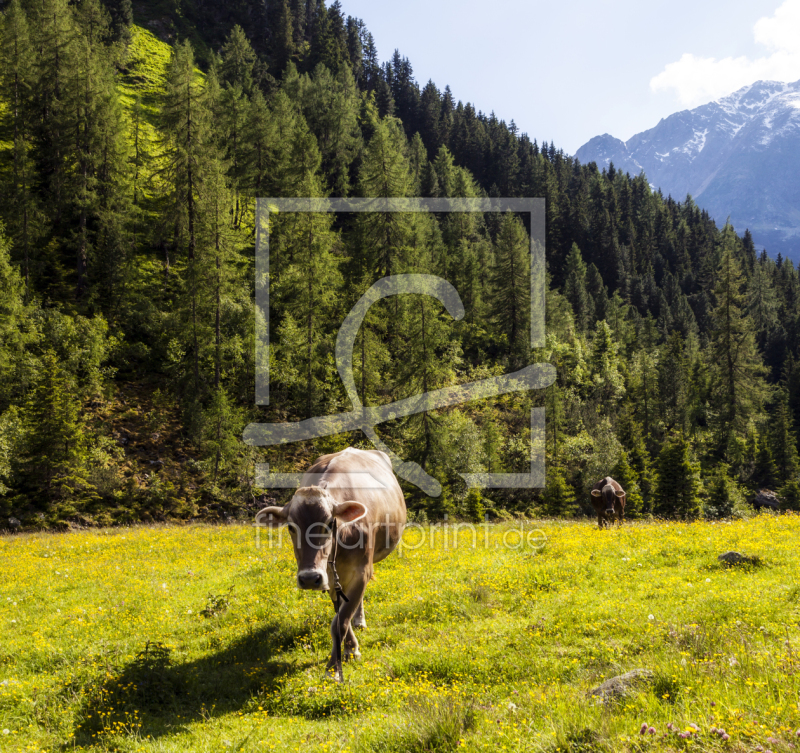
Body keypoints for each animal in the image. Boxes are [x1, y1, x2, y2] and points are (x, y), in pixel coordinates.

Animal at [256, 446, 406, 680]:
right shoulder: (327, 575)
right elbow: (340, 615)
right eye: (290, 526)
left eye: (329, 523)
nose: (309, 578)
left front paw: (334, 667)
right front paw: (349, 648)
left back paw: (360, 621)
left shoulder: (361, 571)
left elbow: (341, 621)